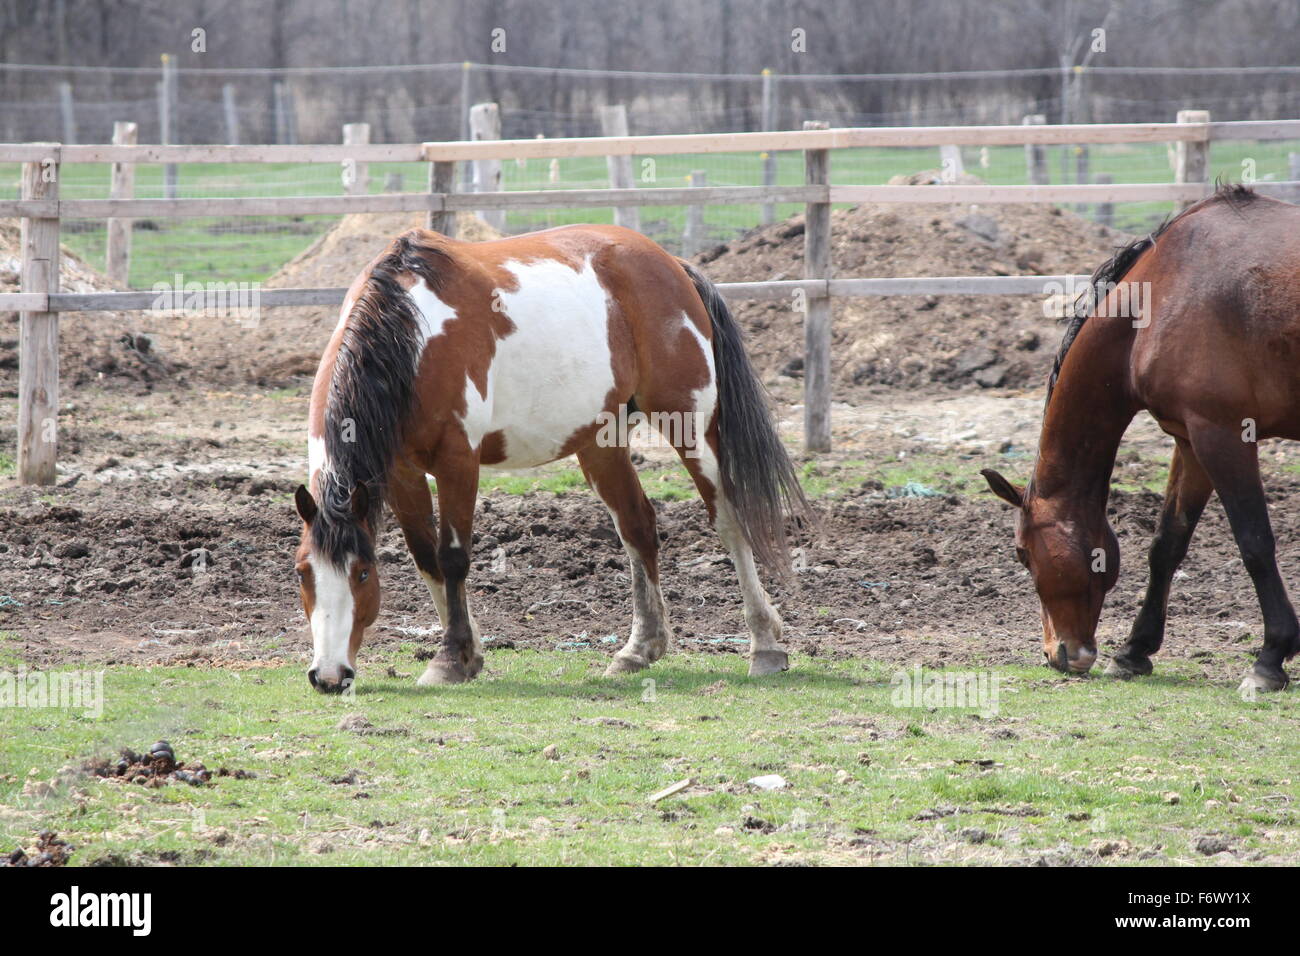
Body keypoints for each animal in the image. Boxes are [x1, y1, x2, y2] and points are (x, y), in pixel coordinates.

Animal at [292, 223, 807, 693]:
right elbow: (426, 559)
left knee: (728, 518)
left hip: (690, 426)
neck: (414, 336)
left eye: (362, 573)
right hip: (602, 442)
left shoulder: (458, 461)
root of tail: (670, 264)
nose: (330, 676)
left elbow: (453, 557)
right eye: (302, 573)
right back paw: (639, 650)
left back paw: (765, 646)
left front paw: (451, 660)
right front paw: (468, 653)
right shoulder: (401, 472)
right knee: (637, 526)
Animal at [982, 185, 1300, 694]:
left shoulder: (1223, 435)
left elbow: (1254, 541)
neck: (1164, 293)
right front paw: (1134, 651)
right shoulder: (1190, 442)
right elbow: (1167, 544)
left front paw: (1270, 659)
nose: (1058, 654)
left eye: (1021, 553)